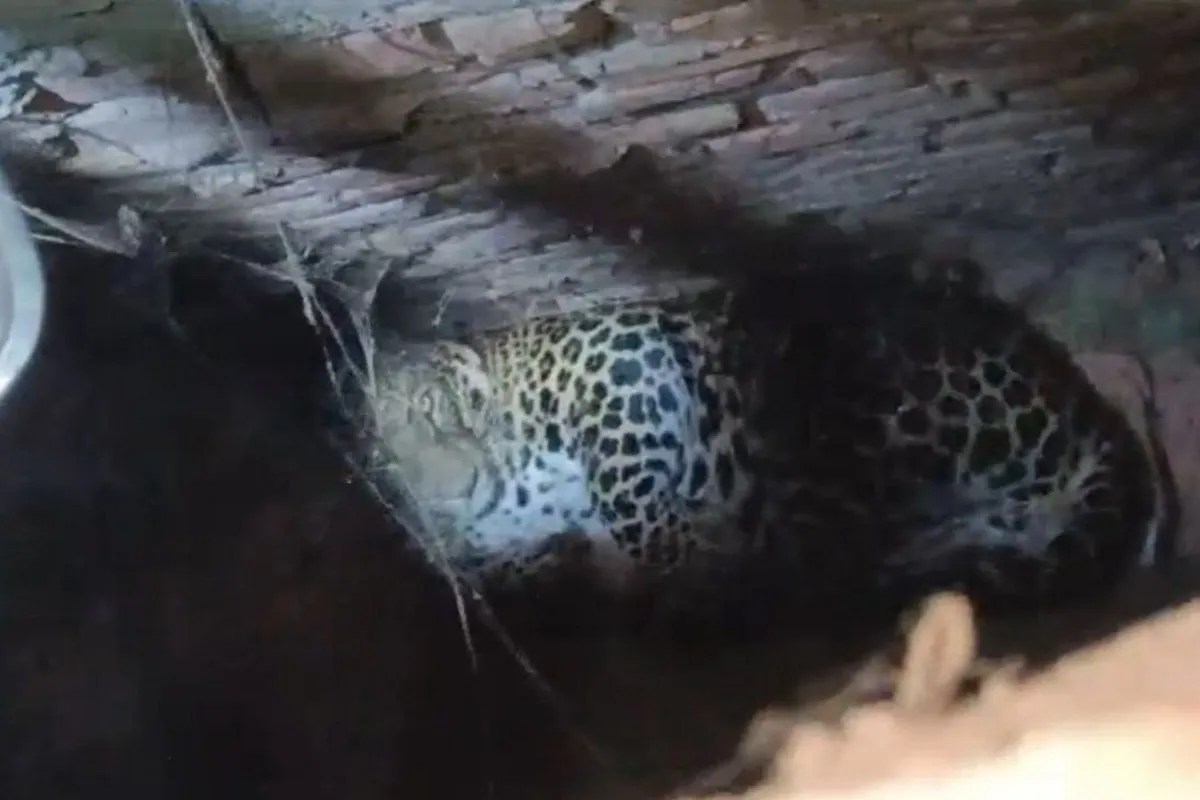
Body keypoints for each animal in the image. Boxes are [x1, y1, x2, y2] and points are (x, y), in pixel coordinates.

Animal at [369, 267, 1164, 634]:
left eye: (435, 409)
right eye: (390, 459)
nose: (447, 492)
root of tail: (1077, 403)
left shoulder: (626, 365)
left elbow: (627, 494)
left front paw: (681, 549)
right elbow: (510, 567)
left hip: (847, 416)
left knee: (817, 565)